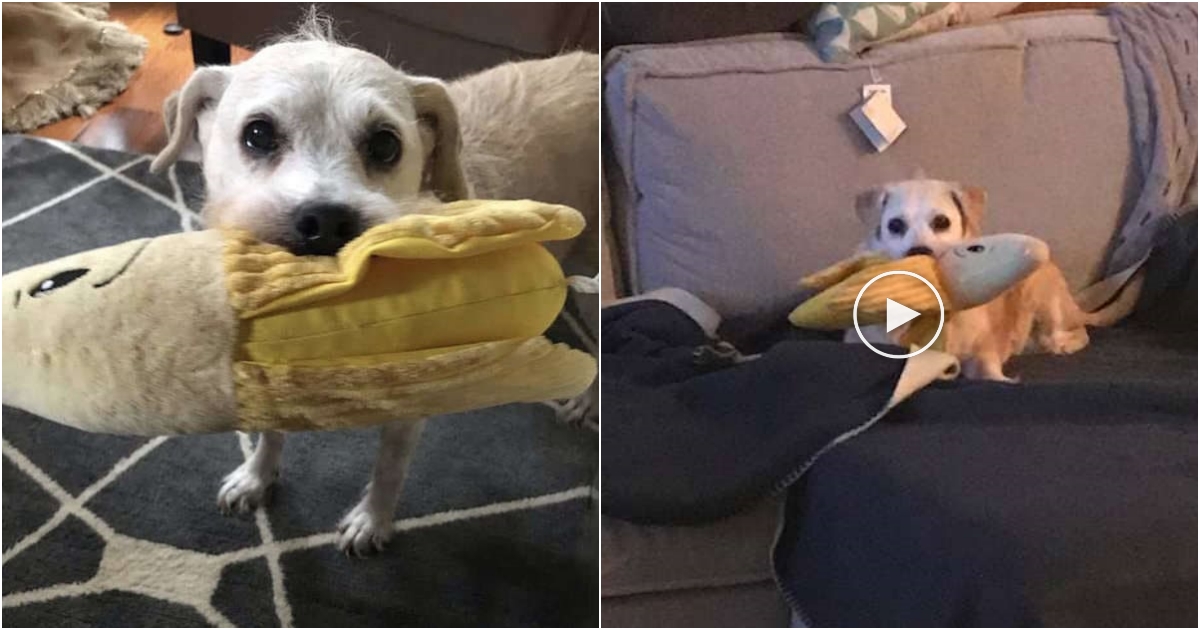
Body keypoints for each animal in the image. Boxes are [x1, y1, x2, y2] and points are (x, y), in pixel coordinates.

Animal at [150, 15, 600, 554]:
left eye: (385, 144)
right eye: (258, 133)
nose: (324, 221)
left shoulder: (410, 406)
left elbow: (389, 468)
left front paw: (372, 521)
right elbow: (270, 432)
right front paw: (257, 477)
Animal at [854, 178, 1113, 381]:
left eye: (941, 222)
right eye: (895, 225)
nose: (918, 252)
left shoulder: (984, 350)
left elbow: (989, 371)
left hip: (1043, 299)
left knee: (1077, 332)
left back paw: (1062, 344)